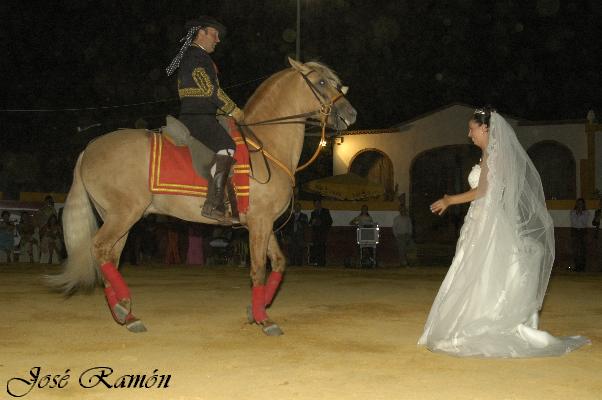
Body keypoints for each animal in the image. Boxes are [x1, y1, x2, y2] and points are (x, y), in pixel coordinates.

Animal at [49, 57, 356, 336]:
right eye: (321, 82)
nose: (350, 113)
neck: (264, 145)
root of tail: (89, 148)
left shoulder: (263, 224)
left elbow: (279, 262)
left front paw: (256, 310)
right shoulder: (259, 222)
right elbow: (258, 269)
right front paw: (264, 319)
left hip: (118, 218)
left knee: (110, 258)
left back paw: (125, 313)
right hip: (123, 215)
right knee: (100, 249)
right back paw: (124, 309)